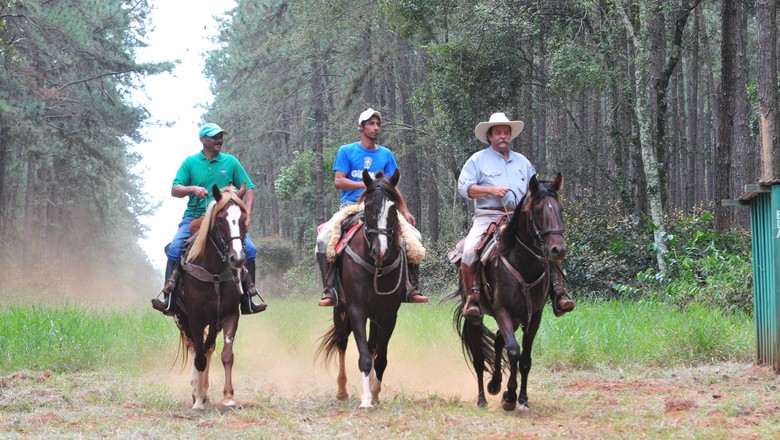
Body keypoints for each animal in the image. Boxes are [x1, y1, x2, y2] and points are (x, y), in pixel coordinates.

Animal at [318, 169, 412, 410]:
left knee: (372, 346)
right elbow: (364, 357)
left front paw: (375, 394)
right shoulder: (356, 310)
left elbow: (380, 358)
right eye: (368, 206)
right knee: (342, 343)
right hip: (340, 310)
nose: (381, 249)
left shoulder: (388, 315)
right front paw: (366, 400)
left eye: (393, 208)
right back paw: (342, 390)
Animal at [458, 174, 568, 410]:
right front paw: (509, 396)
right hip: (476, 317)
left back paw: (495, 384)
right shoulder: (502, 311)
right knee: (479, 359)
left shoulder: (534, 315)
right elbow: (514, 350)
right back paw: (483, 398)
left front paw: (522, 398)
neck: (523, 263)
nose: (558, 250)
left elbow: (524, 358)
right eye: (538, 211)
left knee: (499, 340)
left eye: (560, 209)